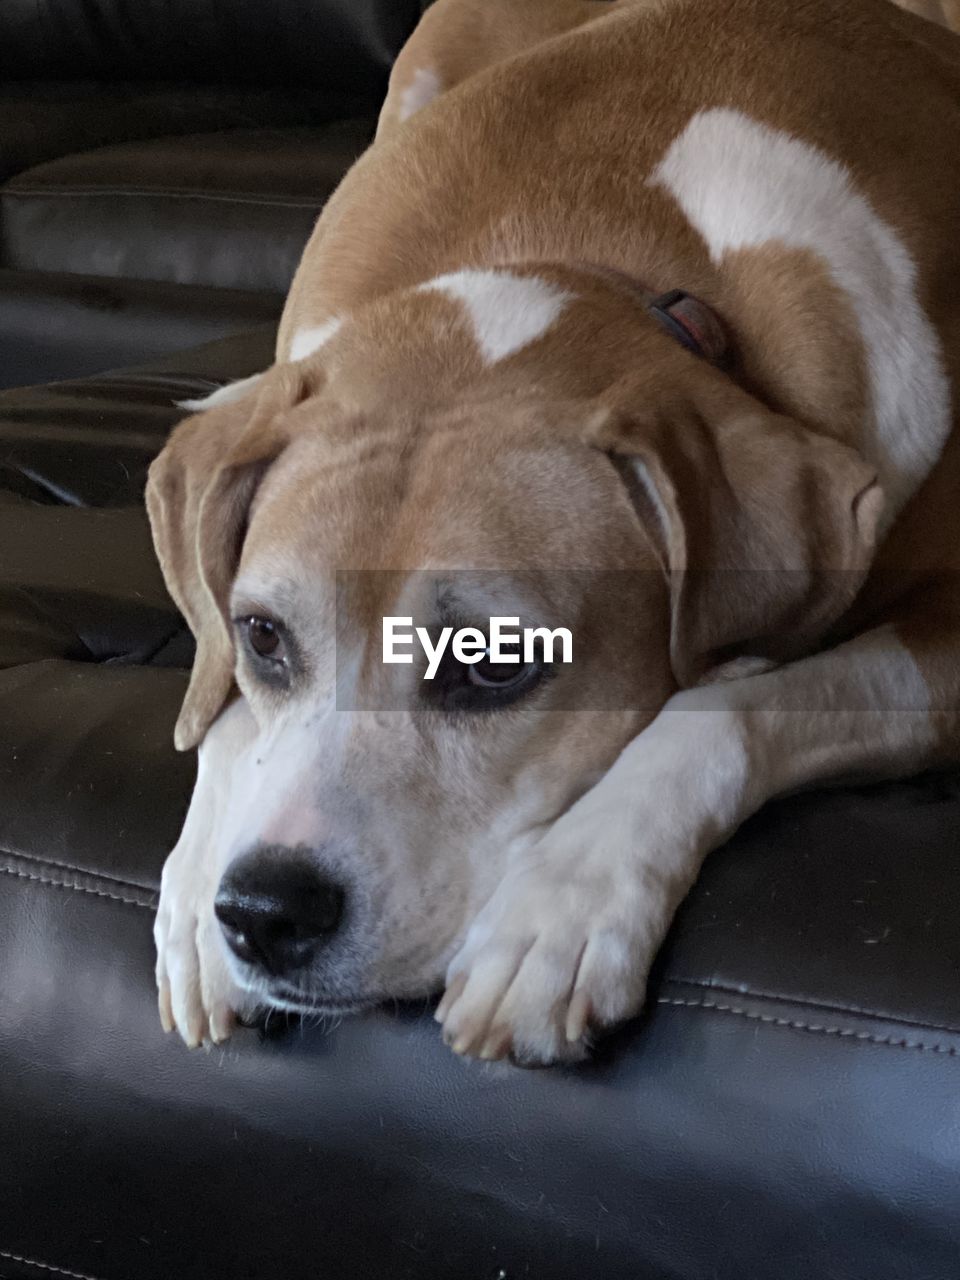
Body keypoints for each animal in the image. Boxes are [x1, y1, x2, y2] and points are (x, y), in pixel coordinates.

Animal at [146, 0, 960, 1064]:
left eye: (495, 664)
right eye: (264, 638)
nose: (264, 914)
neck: (584, 251)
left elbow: (731, 701)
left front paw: (562, 910)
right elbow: (217, 703)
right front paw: (199, 890)